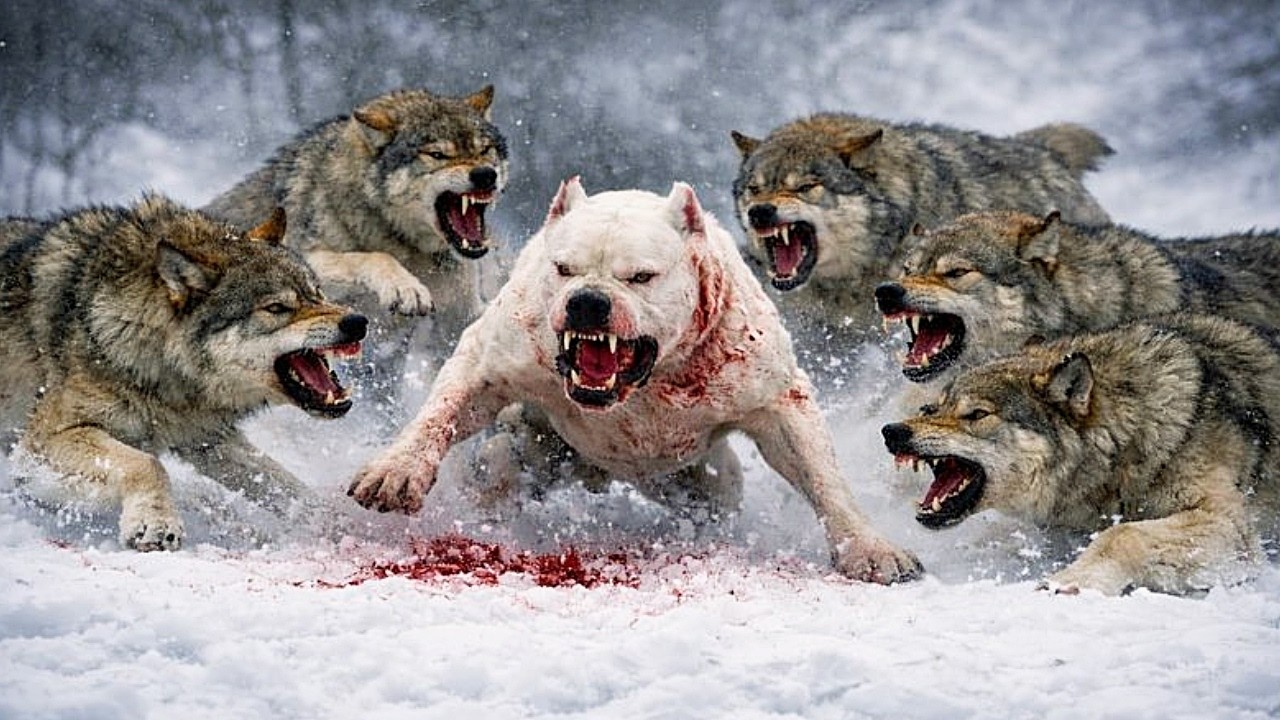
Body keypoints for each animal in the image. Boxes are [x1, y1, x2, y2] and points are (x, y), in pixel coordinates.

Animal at [0, 195, 368, 551]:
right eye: (276, 308)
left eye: (317, 293)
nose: (358, 322)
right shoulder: (42, 444)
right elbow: (147, 464)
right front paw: (155, 523)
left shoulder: (206, 439)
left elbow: (291, 487)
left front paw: (346, 524)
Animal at [205, 85, 509, 410]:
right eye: (438, 154)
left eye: (485, 150)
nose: (485, 174)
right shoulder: (307, 264)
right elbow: (373, 258)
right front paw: (405, 288)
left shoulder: (456, 319)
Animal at [348, 178, 923, 584]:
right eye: (563, 268)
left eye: (641, 277)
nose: (588, 300)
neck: (646, 380)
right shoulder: (497, 357)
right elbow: (447, 405)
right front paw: (397, 470)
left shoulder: (775, 395)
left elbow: (819, 473)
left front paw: (870, 548)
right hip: (517, 455)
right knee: (498, 467)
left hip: (704, 484)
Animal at [881, 314, 1280, 595]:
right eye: (933, 407)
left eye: (977, 414)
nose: (892, 432)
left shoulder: (1230, 526)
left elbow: (1122, 534)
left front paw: (1070, 581)